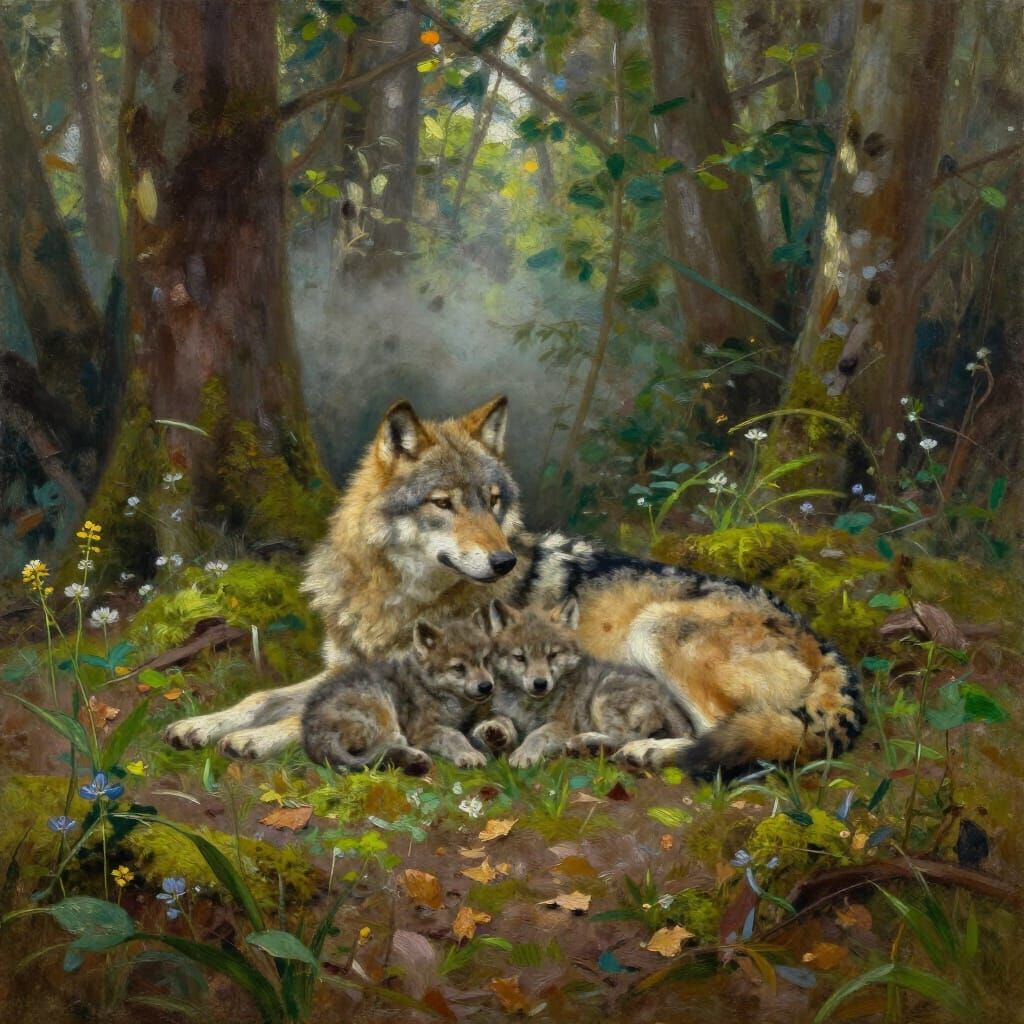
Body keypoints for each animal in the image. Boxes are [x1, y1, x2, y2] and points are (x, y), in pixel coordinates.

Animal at [301, 616, 494, 775]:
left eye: (485, 660)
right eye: (459, 668)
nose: (487, 686)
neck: (427, 685)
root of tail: (312, 734)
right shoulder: (420, 730)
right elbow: (453, 734)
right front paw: (469, 753)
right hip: (380, 705)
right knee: (379, 750)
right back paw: (414, 757)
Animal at [470, 598, 694, 768]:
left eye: (552, 655)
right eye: (520, 657)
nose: (540, 684)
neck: (528, 704)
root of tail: (667, 695)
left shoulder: (563, 725)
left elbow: (537, 734)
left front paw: (524, 753)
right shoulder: (508, 715)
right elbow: (501, 721)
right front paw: (491, 732)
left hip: (602, 697)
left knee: (627, 738)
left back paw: (586, 742)